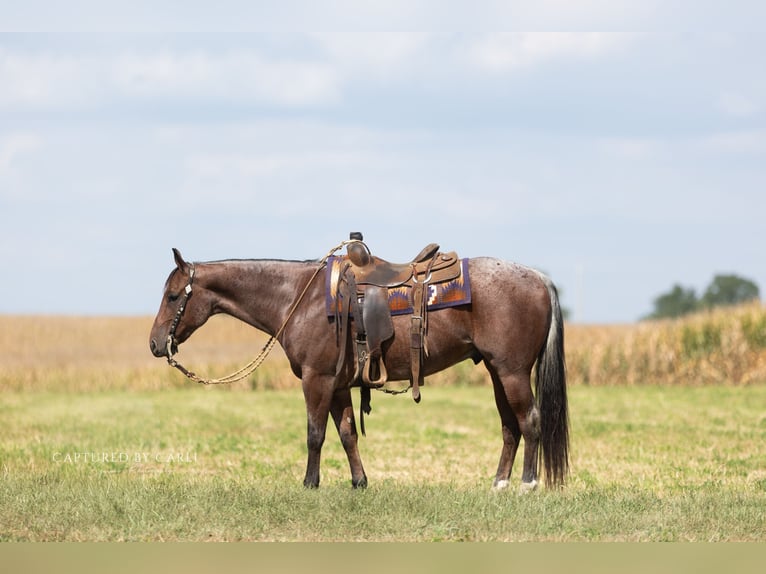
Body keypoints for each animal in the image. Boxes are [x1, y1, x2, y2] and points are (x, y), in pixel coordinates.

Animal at [149, 245, 569, 491]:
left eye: (173, 296)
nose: (154, 344)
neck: (299, 298)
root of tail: (540, 279)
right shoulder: (337, 385)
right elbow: (347, 433)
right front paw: (359, 482)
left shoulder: (317, 380)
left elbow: (315, 434)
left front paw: (310, 484)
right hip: (498, 373)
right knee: (510, 426)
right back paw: (499, 484)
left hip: (513, 372)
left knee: (530, 421)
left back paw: (528, 484)